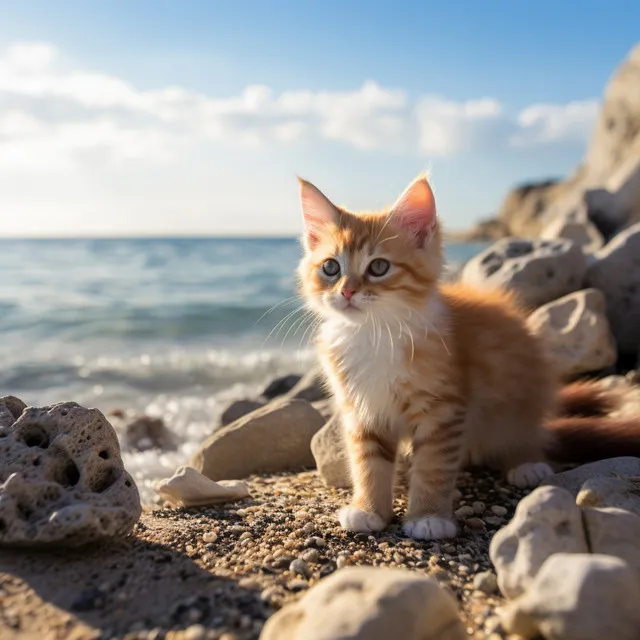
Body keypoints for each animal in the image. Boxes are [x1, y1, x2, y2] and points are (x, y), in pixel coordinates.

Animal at [298, 174, 640, 540]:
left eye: (378, 267)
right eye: (331, 268)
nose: (346, 291)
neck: (374, 332)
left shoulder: (443, 408)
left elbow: (433, 466)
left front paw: (428, 516)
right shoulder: (363, 409)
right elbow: (368, 463)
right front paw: (368, 510)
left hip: (521, 396)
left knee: (525, 435)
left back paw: (526, 462)